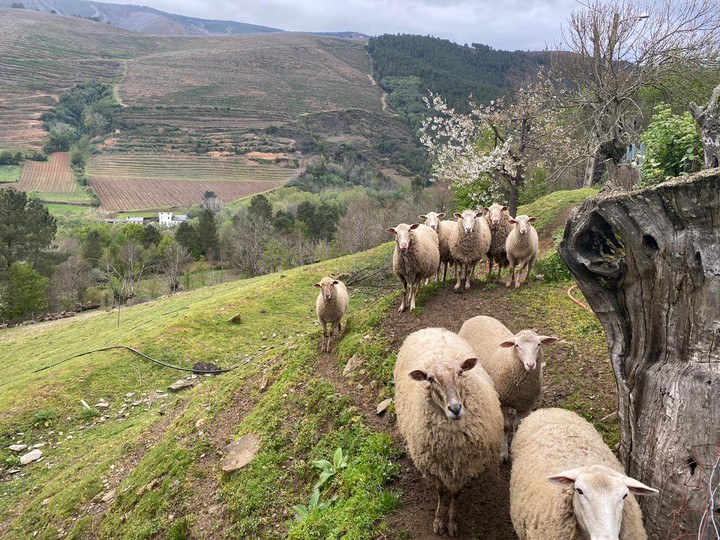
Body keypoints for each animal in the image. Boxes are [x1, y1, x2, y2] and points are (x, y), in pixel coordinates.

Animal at [394, 327, 503, 537]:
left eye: (460, 372)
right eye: (430, 379)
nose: (455, 408)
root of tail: (430, 328)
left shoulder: (464, 467)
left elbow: (454, 493)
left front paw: (451, 523)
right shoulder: (435, 465)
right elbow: (440, 491)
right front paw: (438, 520)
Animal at [457, 315, 559, 462]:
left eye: (538, 345)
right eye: (517, 346)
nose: (530, 365)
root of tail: (477, 316)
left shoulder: (524, 404)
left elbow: (517, 426)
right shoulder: (502, 401)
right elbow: (505, 427)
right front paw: (503, 453)